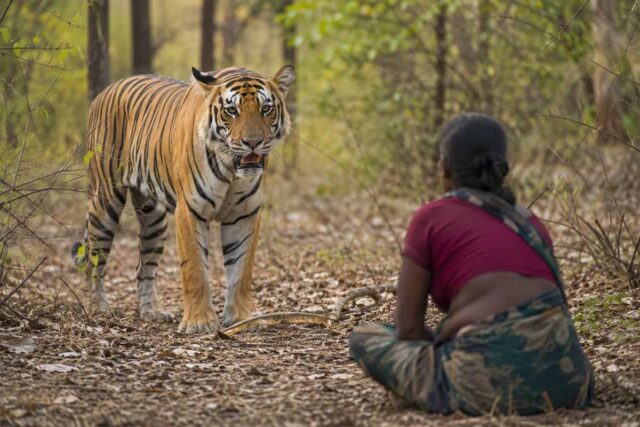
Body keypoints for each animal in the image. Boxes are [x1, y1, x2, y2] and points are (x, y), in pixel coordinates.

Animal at [72, 65, 295, 333]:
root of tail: (105, 91)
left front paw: (241, 318)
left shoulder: (245, 214)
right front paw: (198, 323)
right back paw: (98, 308)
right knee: (93, 259)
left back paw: (152, 312)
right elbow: (195, 269)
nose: (253, 143)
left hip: (153, 220)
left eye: (266, 109)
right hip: (105, 202)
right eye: (232, 110)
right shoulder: (190, 210)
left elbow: (241, 270)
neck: (232, 169)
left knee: (143, 268)